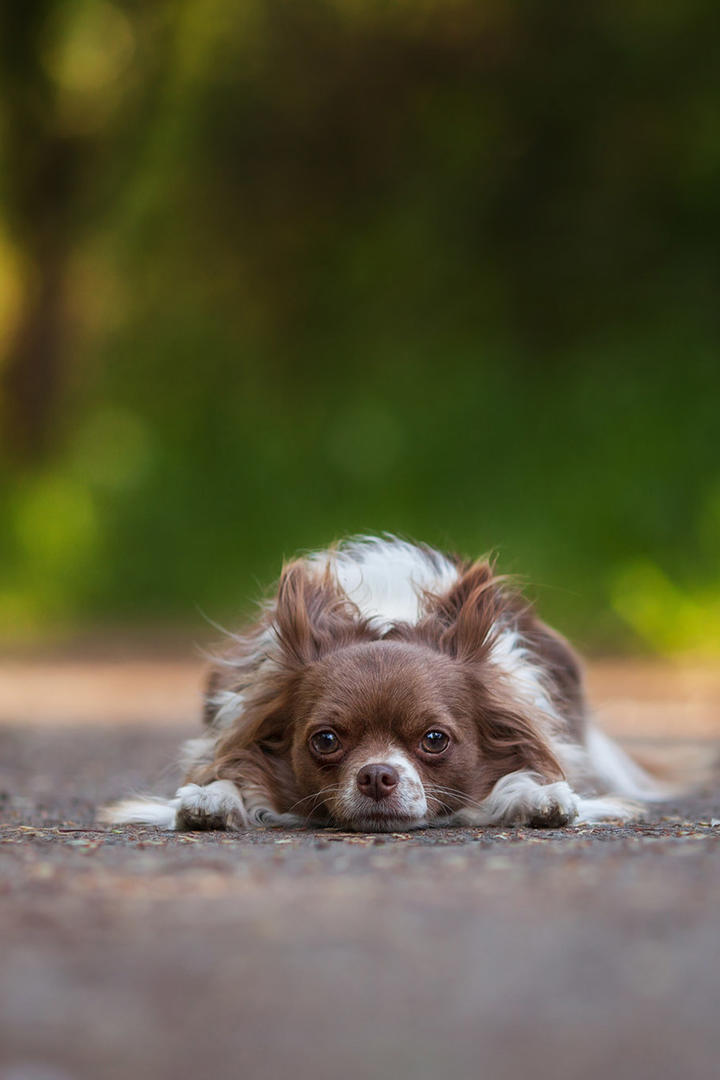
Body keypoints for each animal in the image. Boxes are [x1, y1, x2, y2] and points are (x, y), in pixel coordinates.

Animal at [99, 535, 669, 829]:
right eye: (326, 740)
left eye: (435, 740)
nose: (377, 775)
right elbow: (228, 778)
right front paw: (210, 800)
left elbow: (523, 782)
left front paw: (539, 798)